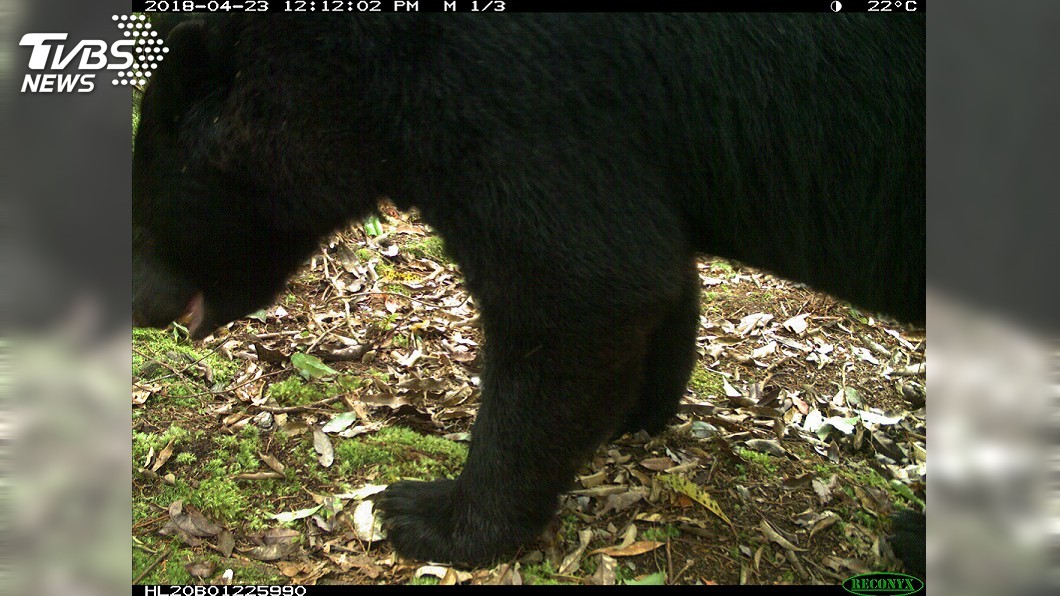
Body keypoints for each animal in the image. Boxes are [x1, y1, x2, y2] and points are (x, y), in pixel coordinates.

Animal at [132, 14, 925, 565]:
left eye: (149, 200)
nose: (142, 305)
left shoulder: (512, 92)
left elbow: (580, 286)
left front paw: (432, 517)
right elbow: (651, 278)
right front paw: (631, 412)